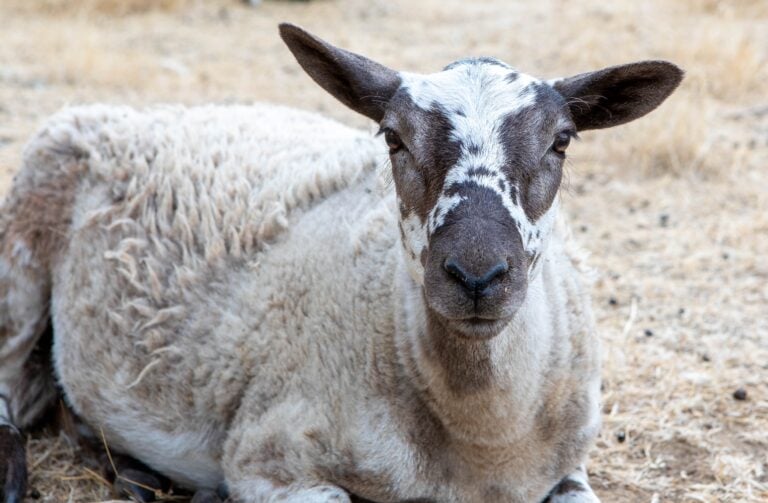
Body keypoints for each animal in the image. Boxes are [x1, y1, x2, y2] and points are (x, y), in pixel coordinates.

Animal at [0, 23, 682, 503]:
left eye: (561, 141)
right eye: (393, 137)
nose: (476, 277)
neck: (481, 440)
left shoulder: (569, 465)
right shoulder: (269, 455)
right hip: (20, 246)